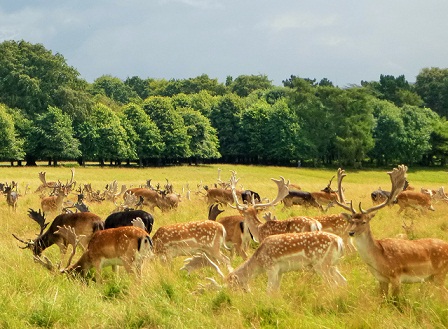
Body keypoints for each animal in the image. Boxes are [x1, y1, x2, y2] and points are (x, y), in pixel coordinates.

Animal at [334, 164, 448, 300]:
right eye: (351, 221)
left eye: (364, 222)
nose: (351, 233)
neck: (379, 259)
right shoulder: (381, 279)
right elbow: (382, 300)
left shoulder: (396, 276)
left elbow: (394, 301)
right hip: (432, 277)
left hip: (440, 273)